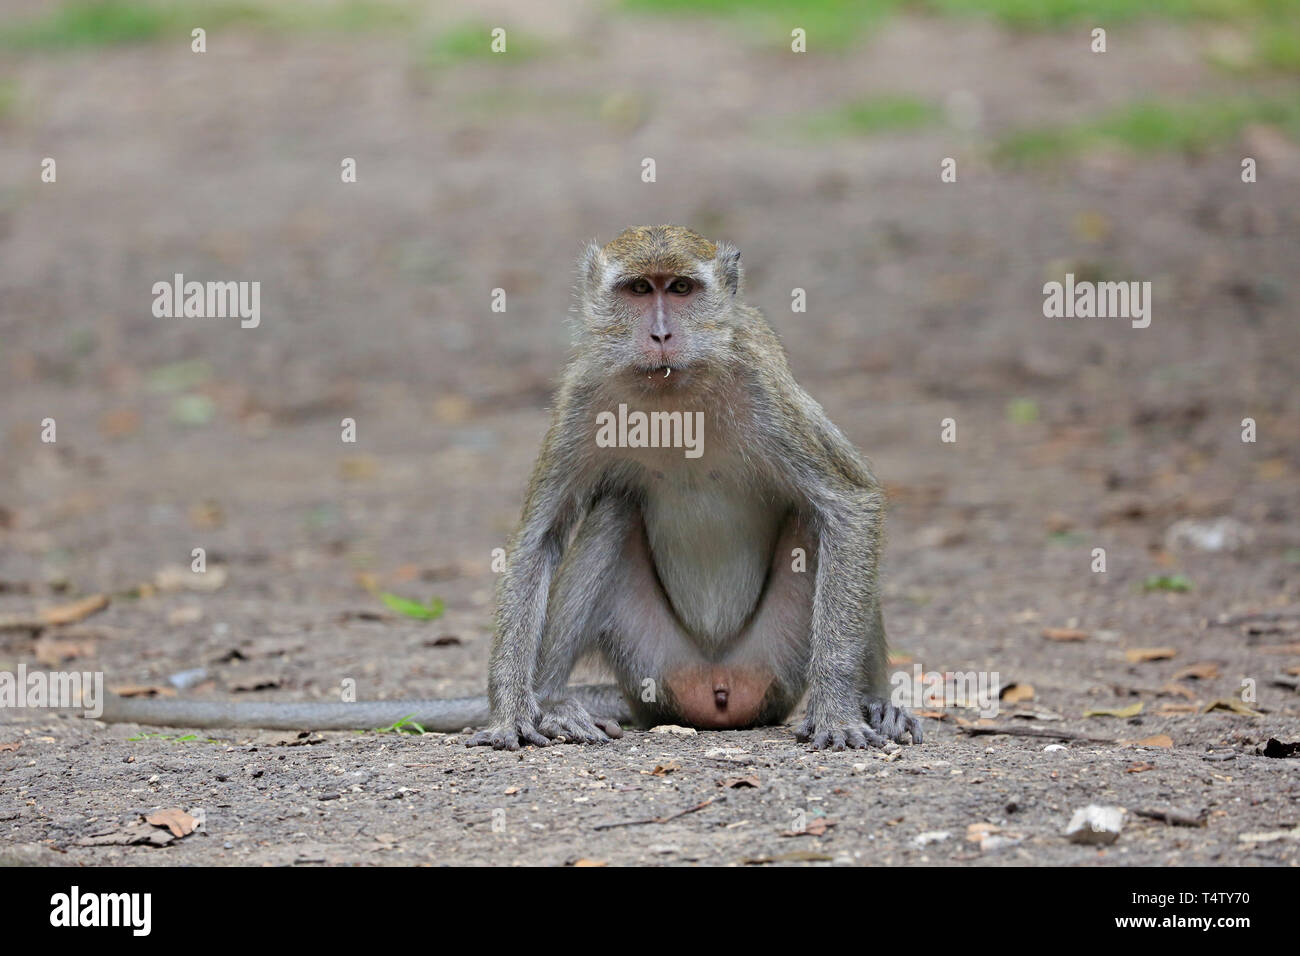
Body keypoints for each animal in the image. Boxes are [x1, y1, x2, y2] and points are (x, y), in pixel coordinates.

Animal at [86, 227, 920, 749]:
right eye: (637, 290)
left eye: (682, 289)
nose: (659, 333)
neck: (672, 392)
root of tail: (714, 688)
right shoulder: (582, 395)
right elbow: (540, 536)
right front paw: (515, 707)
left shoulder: (763, 388)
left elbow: (849, 504)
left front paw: (843, 708)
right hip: (653, 662)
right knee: (613, 513)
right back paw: (557, 707)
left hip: (774, 662)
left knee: (814, 522)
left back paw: (874, 705)